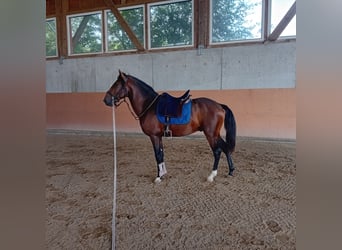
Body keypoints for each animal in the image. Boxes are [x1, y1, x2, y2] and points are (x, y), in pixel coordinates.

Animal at [102, 69, 235, 183]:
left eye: (116, 85)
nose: (106, 100)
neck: (149, 105)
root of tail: (219, 105)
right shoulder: (159, 136)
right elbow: (161, 154)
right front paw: (163, 174)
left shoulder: (154, 136)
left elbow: (157, 155)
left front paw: (158, 177)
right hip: (215, 134)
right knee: (225, 148)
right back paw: (231, 171)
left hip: (210, 134)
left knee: (217, 151)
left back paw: (211, 176)